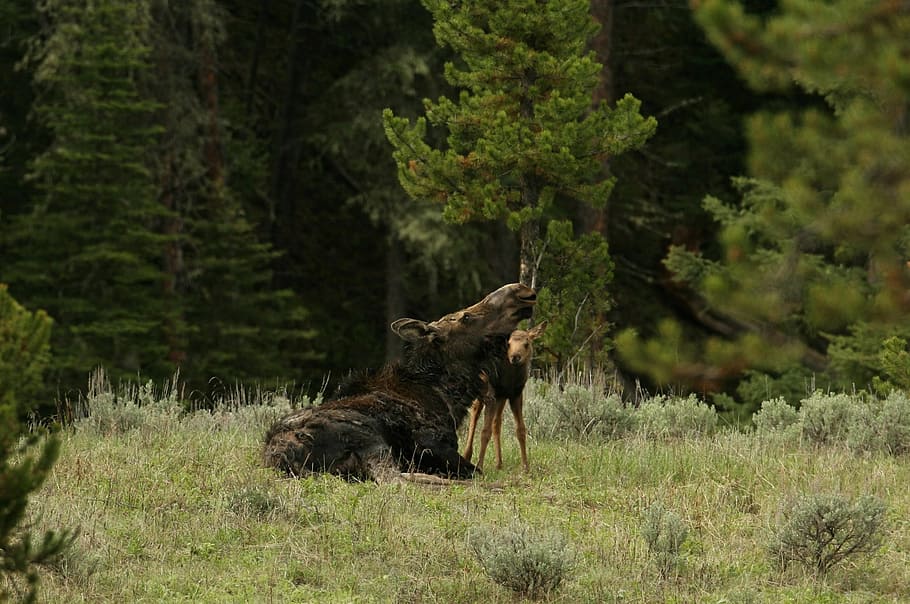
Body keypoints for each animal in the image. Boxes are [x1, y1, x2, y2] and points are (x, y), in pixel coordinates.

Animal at [262, 283, 537, 482]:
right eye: (466, 317)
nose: (521, 292)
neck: (448, 396)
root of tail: (281, 457)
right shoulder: (432, 445)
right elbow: (475, 470)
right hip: (371, 440)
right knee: (398, 480)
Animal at [462, 321, 546, 473]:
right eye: (509, 344)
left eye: (527, 343)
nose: (515, 357)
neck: (510, 379)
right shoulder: (491, 396)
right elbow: (485, 432)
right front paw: (479, 466)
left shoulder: (515, 395)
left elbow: (521, 430)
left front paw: (526, 467)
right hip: (480, 393)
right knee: (474, 417)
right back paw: (467, 455)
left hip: (501, 398)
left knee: (497, 423)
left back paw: (499, 463)